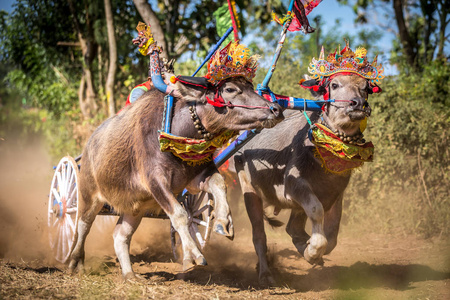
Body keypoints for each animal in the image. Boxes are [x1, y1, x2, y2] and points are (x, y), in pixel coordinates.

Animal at [67, 74, 284, 278]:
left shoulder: (198, 176)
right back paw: (75, 262)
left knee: (120, 235)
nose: (275, 109)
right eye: (230, 89)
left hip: (135, 208)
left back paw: (129, 275)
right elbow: (179, 215)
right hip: (89, 195)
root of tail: (88, 145)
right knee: (82, 225)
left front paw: (223, 222)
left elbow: (219, 185)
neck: (174, 132)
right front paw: (194, 254)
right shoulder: (156, 182)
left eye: (250, 87)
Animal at [234, 71, 382, 284]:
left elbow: (332, 236)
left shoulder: (335, 193)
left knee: (292, 228)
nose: (358, 103)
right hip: (249, 189)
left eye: (365, 88)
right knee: (259, 235)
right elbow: (317, 214)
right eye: (335, 85)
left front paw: (309, 249)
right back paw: (266, 274)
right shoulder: (294, 185)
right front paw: (312, 251)